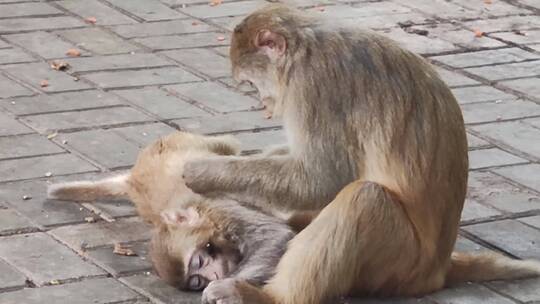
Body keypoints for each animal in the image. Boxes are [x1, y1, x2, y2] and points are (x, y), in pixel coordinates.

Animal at [179, 4, 540, 304]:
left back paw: (271, 297)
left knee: (363, 198)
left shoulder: (315, 87)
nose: (265, 106)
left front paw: (202, 172)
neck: (305, 49)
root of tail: (438, 270)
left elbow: (321, 179)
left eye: (253, 84)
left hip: (400, 263)